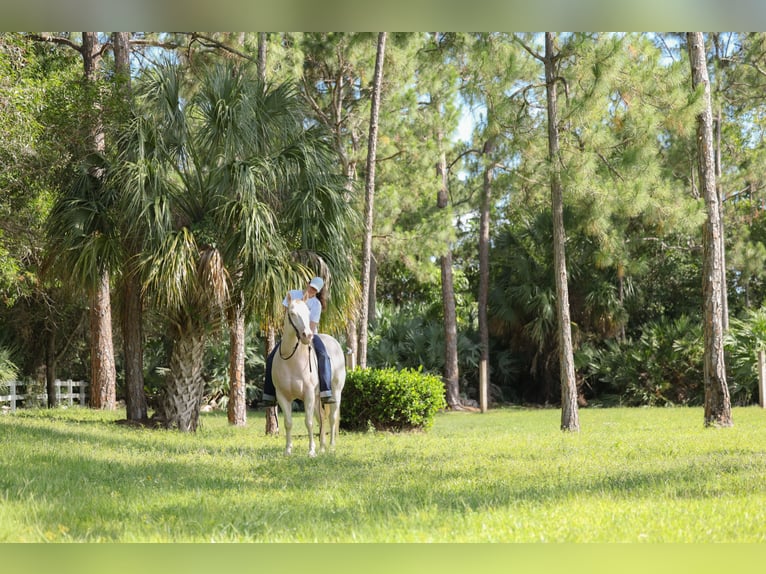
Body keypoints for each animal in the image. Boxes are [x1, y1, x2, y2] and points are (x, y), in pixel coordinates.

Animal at [271, 295, 346, 456]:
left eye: (308, 312)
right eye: (292, 313)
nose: (307, 335)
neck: (293, 360)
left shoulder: (309, 394)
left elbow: (308, 422)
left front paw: (311, 451)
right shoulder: (282, 396)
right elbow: (288, 423)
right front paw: (288, 450)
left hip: (335, 392)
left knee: (332, 418)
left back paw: (331, 447)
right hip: (318, 398)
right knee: (321, 418)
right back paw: (322, 447)